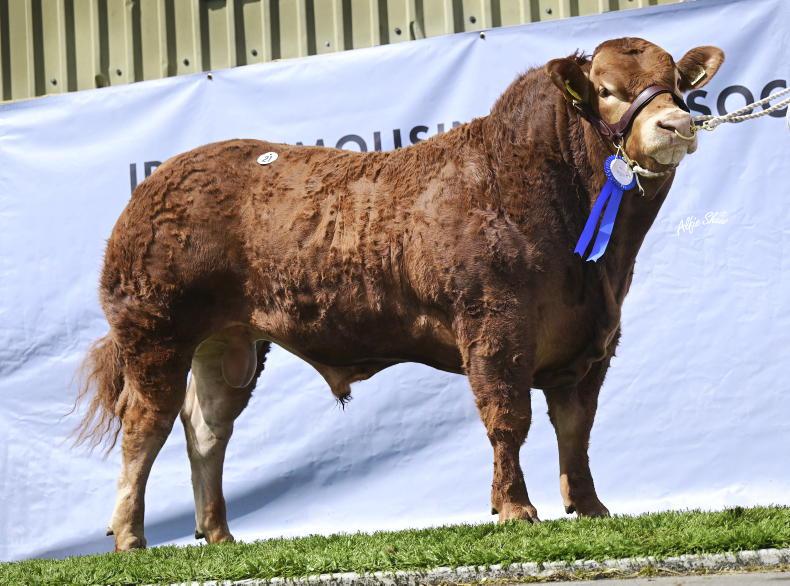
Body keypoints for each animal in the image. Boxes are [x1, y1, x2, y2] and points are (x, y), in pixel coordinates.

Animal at [76, 37, 724, 551]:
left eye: (675, 85)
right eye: (608, 90)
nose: (675, 125)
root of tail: (160, 180)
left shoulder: (593, 339)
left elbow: (577, 428)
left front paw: (589, 507)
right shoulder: (494, 325)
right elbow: (508, 420)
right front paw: (515, 508)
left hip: (229, 344)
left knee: (207, 426)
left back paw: (217, 534)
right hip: (155, 330)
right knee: (146, 425)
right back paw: (130, 537)